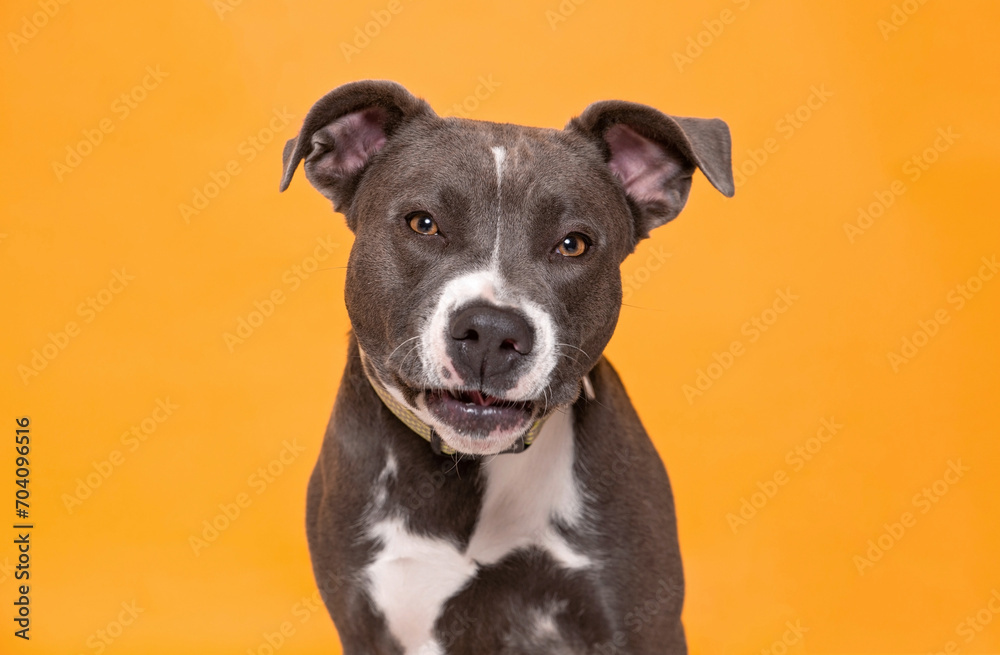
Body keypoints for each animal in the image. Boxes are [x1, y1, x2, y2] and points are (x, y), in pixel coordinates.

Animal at [280, 80, 736, 655]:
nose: (493, 332)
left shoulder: (640, 622)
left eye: (573, 244)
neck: (468, 473)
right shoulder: (369, 623)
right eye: (422, 224)